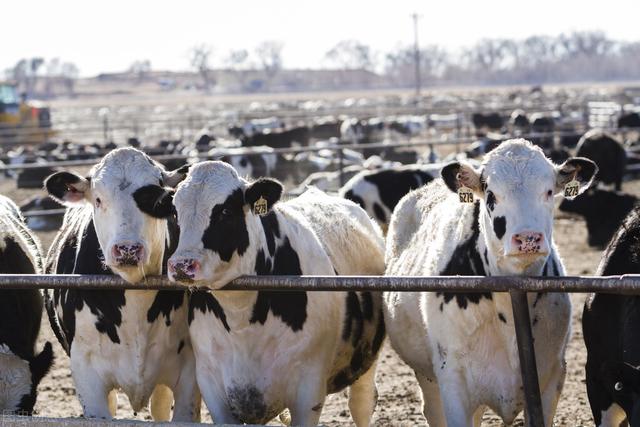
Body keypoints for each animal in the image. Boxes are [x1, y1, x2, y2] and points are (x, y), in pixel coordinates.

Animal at [165, 162, 384, 426]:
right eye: (175, 212)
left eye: (225, 212)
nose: (181, 265)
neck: (241, 319)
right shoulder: (211, 384)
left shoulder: (309, 390)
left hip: (366, 362)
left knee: (361, 403)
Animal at [382, 139, 596, 426]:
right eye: (491, 195)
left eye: (549, 191)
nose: (528, 238)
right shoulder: (453, 380)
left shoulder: (551, 377)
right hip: (428, 380)